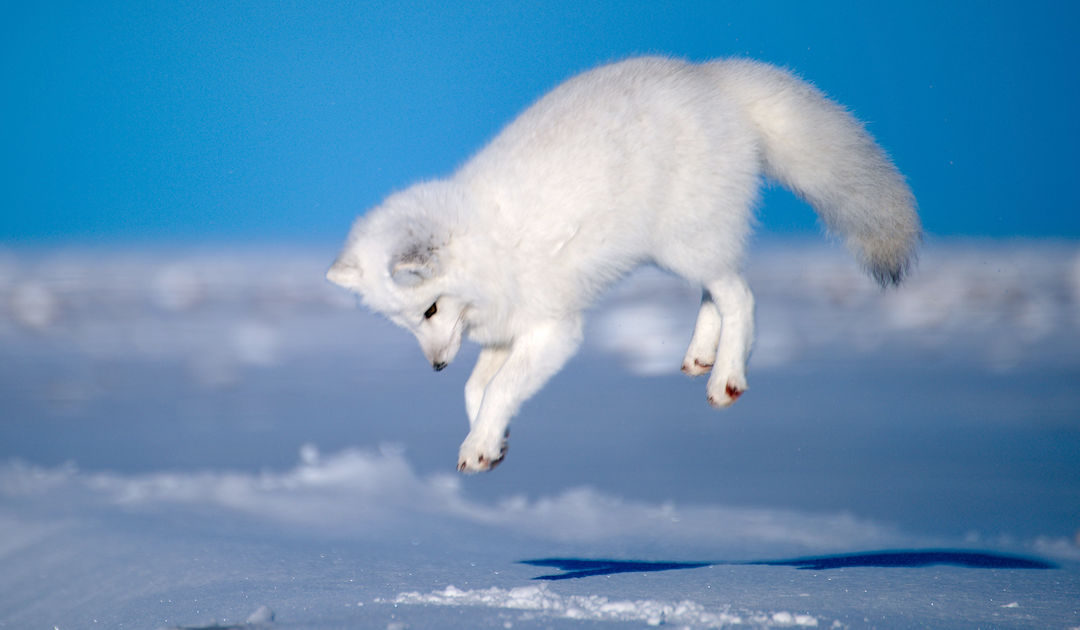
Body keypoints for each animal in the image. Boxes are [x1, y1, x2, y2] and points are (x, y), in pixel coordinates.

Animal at [328, 56, 920, 473]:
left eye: (429, 309)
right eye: (404, 323)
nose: (435, 367)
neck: (486, 247)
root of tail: (713, 78)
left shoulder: (554, 329)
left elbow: (497, 387)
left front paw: (478, 446)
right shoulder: (504, 332)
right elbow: (478, 390)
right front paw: (493, 442)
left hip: (683, 243)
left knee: (740, 294)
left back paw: (726, 378)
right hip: (680, 251)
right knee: (719, 288)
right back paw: (700, 355)